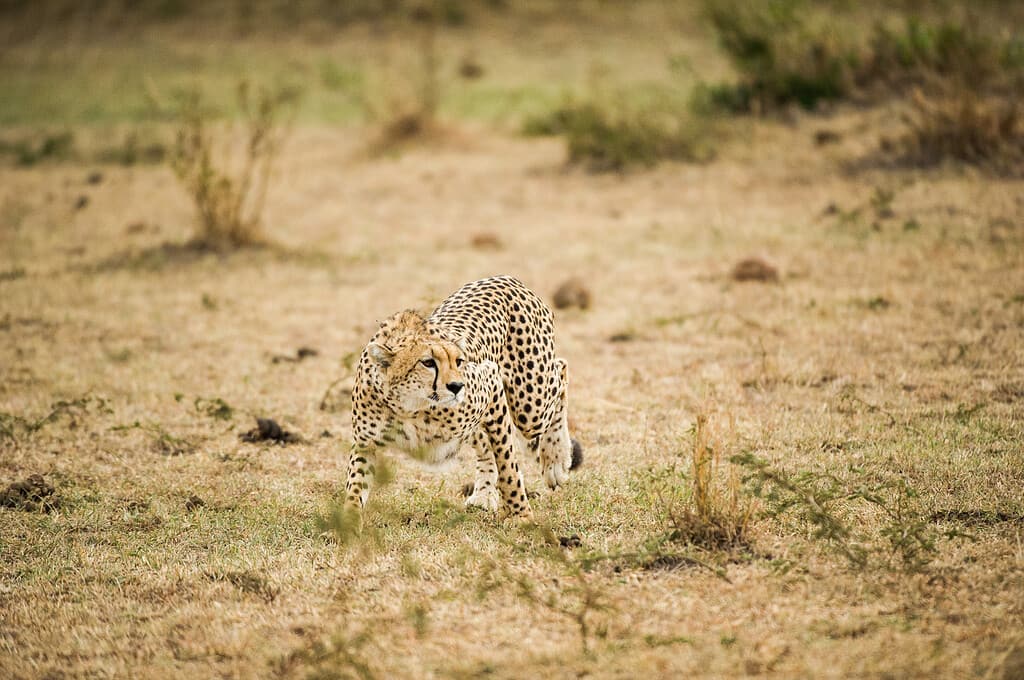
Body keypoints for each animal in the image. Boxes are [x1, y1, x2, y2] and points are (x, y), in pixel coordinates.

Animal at [346, 274, 581, 520]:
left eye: (458, 361)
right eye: (427, 362)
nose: (457, 386)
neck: (410, 406)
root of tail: (505, 278)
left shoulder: (491, 382)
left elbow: (508, 466)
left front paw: (520, 515)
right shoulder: (366, 443)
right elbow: (355, 485)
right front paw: (348, 522)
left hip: (529, 406)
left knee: (561, 368)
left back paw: (556, 460)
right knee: (486, 446)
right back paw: (484, 495)